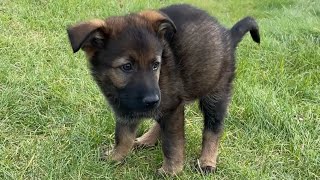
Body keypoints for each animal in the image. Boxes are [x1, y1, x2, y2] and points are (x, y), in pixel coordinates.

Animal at [66, 3, 258, 174]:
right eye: (127, 67)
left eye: (155, 65)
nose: (153, 99)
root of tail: (228, 35)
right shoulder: (127, 110)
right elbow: (123, 137)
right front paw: (116, 157)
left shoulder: (170, 105)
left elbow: (172, 142)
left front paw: (172, 170)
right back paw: (147, 139)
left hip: (216, 92)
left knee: (213, 129)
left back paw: (207, 161)